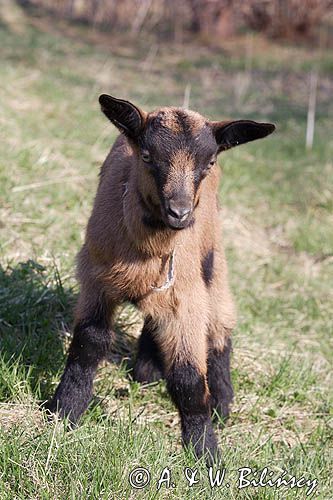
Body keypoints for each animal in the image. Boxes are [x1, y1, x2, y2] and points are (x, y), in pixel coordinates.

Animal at [48, 95, 274, 462]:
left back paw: (222, 402)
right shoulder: (96, 278)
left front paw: (205, 451)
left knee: (220, 322)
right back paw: (147, 372)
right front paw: (64, 411)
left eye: (209, 162)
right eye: (146, 156)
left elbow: (189, 378)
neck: (147, 249)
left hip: (212, 257)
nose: (180, 213)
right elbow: (88, 344)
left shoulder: (187, 294)